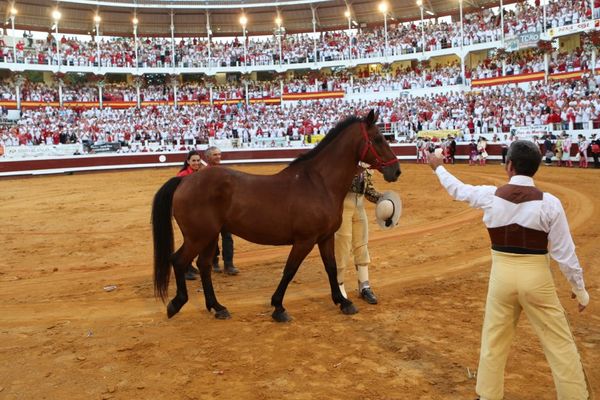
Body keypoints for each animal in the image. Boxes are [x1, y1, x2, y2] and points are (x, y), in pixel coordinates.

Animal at [152, 109, 400, 322]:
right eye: (378, 138)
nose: (396, 171)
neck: (319, 183)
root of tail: (185, 181)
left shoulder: (325, 238)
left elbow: (330, 267)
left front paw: (343, 302)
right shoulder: (304, 240)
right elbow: (289, 270)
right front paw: (279, 307)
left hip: (210, 237)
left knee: (203, 265)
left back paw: (218, 307)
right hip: (198, 237)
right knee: (179, 261)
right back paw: (176, 304)